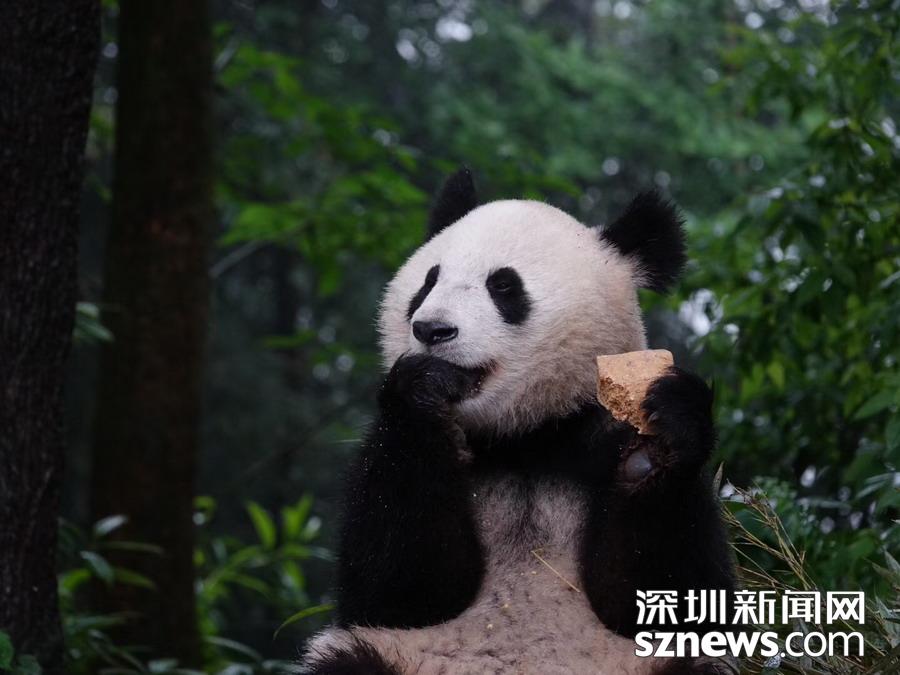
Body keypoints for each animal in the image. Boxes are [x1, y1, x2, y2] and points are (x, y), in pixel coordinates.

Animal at [302, 168, 735, 674]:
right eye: (428, 283)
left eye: (504, 287)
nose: (432, 330)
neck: (523, 437)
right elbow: (399, 588)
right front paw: (424, 386)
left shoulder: (593, 441)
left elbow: (672, 598)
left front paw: (659, 444)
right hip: (397, 656)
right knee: (350, 657)